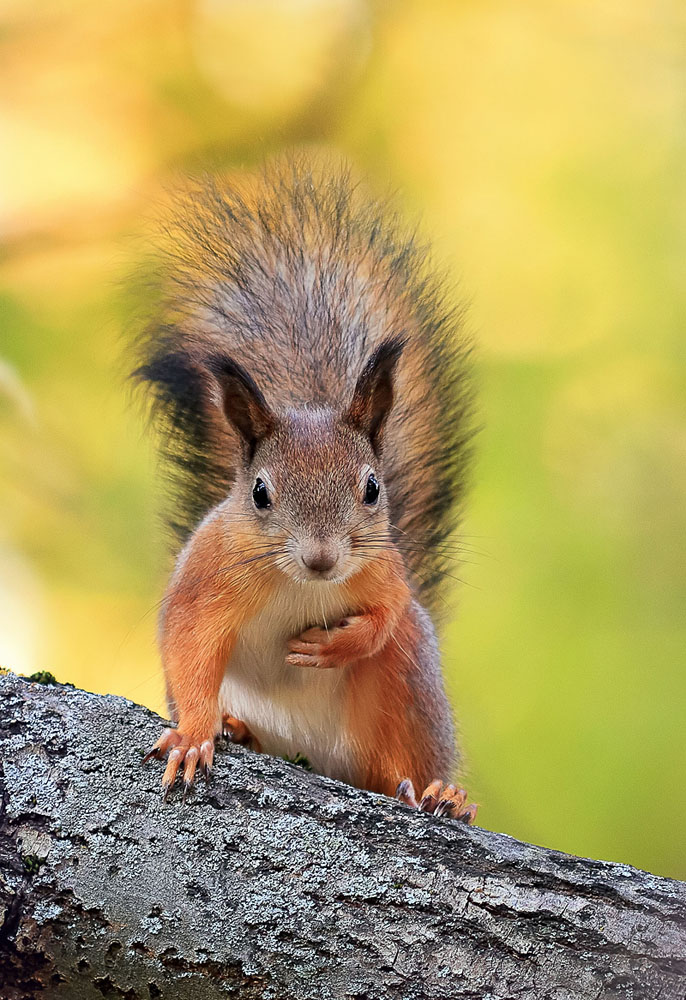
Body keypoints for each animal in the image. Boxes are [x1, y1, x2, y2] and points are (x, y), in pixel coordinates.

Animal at [135, 156, 478, 820]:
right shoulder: (208, 579)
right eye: (259, 493)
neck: (300, 586)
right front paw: (193, 733)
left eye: (372, 488)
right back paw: (237, 728)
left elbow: (386, 610)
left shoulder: (382, 568)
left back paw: (434, 791)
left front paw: (333, 648)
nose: (322, 560)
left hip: (405, 684)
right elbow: (190, 650)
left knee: (396, 753)